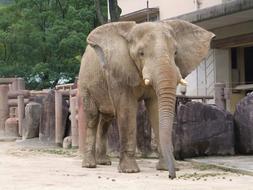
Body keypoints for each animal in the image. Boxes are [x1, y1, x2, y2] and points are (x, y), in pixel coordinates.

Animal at [78, 20, 214, 179]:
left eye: (175, 52)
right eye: (141, 53)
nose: (172, 176)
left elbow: (156, 108)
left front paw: (165, 168)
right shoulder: (119, 73)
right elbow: (127, 109)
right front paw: (129, 171)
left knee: (106, 119)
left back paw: (104, 162)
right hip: (85, 82)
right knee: (93, 117)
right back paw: (89, 165)